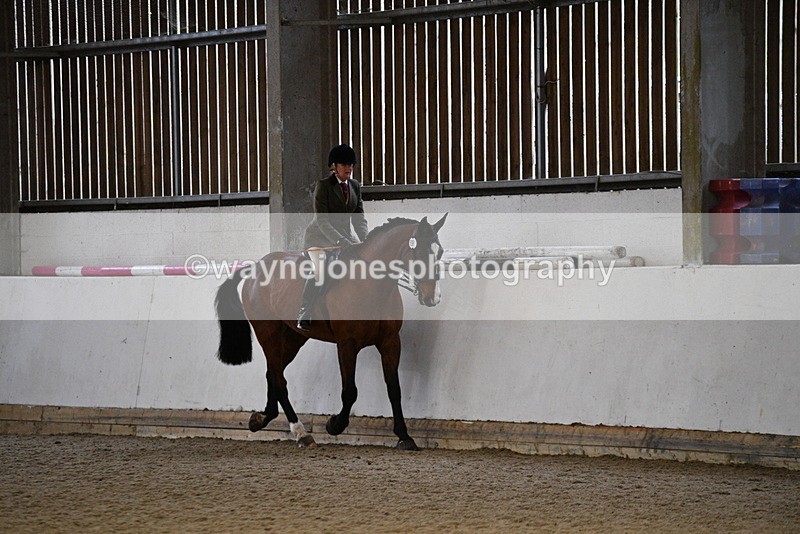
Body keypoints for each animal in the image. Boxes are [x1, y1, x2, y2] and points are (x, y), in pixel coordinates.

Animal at [214, 214, 448, 450]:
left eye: (440, 252)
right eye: (420, 252)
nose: (433, 297)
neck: (370, 284)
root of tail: (255, 269)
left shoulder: (390, 341)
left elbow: (394, 389)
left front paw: (404, 436)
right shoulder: (346, 344)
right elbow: (350, 391)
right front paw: (334, 425)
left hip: (293, 337)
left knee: (273, 372)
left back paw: (261, 419)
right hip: (268, 334)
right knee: (279, 380)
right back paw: (301, 433)